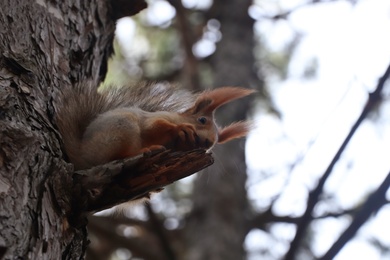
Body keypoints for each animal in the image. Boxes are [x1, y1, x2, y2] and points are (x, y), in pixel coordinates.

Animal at [55, 82, 256, 171]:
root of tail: (82, 154)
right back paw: (144, 150)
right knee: (114, 156)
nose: (207, 142)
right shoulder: (154, 118)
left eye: (215, 142)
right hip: (122, 128)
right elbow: (154, 127)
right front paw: (181, 130)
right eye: (202, 120)